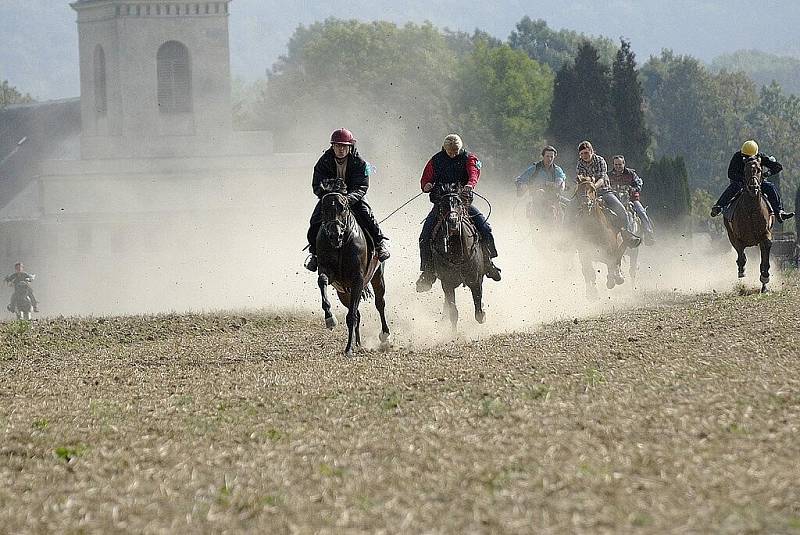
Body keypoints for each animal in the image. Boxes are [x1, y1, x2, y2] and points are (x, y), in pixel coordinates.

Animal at [314, 193, 390, 356]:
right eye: (324, 209)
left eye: (343, 208)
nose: (335, 235)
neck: (342, 245)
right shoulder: (329, 273)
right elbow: (322, 281)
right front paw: (330, 318)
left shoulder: (357, 280)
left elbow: (351, 316)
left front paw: (348, 349)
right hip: (343, 292)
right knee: (357, 311)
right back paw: (358, 343)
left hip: (377, 276)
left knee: (379, 304)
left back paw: (385, 335)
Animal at [432, 186, 488, 332]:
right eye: (443, 204)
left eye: (458, 202)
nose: (453, 221)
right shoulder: (447, 283)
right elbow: (454, 312)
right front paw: (454, 334)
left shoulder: (475, 280)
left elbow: (479, 313)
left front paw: (483, 313)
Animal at [720, 155, 772, 294]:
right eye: (745, 170)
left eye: (759, 170)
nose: (753, 187)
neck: (752, 210)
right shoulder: (737, 236)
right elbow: (741, 253)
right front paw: (741, 270)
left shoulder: (765, 234)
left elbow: (766, 248)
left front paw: (765, 277)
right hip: (730, 233)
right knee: (740, 252)